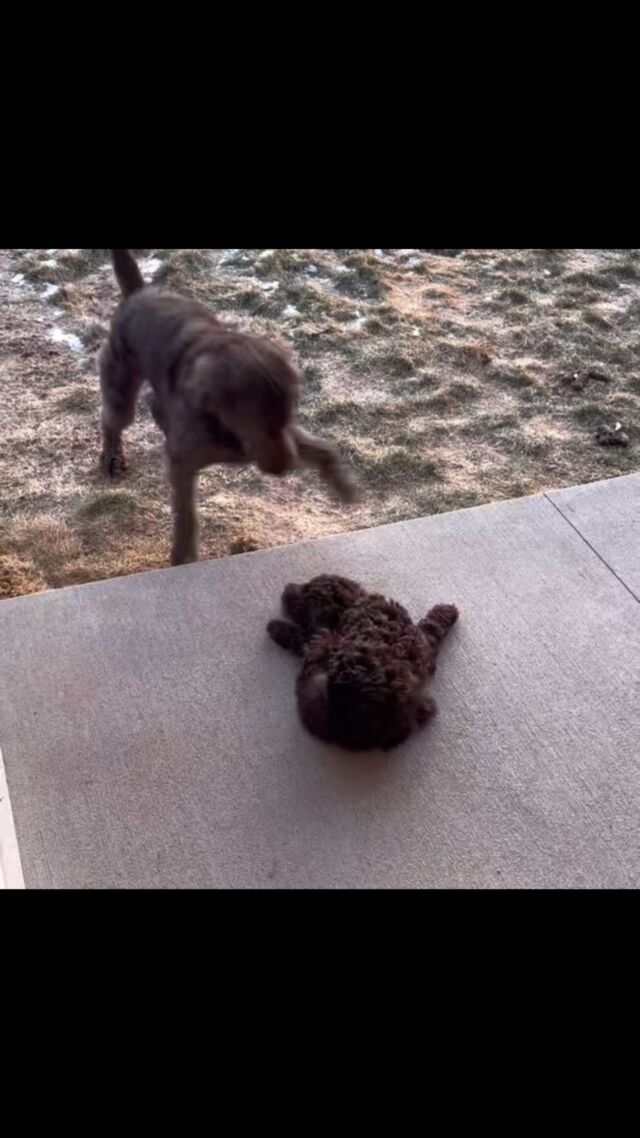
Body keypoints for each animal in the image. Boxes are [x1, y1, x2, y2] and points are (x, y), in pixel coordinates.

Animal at [99, 251, 353, 566]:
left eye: (287, 417)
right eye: (255, 423)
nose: (286, 468)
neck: (227, 430)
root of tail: (138, 292)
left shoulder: (288, 437)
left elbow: (323, 449)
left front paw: (343, 485)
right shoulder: (184, 464)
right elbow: (186, 513)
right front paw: (183, 554)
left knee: (154, 404)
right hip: (120, 387)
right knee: (113, 420)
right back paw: (112, 457)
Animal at [265, 573, 457, 751]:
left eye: (306, 592)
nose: (286, 588)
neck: (354, 602)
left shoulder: (320, 635)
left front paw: (275, 627)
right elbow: (432, 628)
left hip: (325, 647)